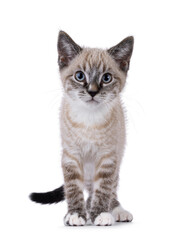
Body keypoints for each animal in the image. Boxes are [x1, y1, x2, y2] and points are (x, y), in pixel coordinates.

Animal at [29, 30, 134, 227]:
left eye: (106, 78)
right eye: (80, 76)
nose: (92, 92)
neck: (89, 121)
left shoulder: (108, 157)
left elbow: (103, 189)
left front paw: (99, 213)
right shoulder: (71, 155)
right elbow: (73, 188)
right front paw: (75, 214)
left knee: (109, 190)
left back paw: (115, 210)